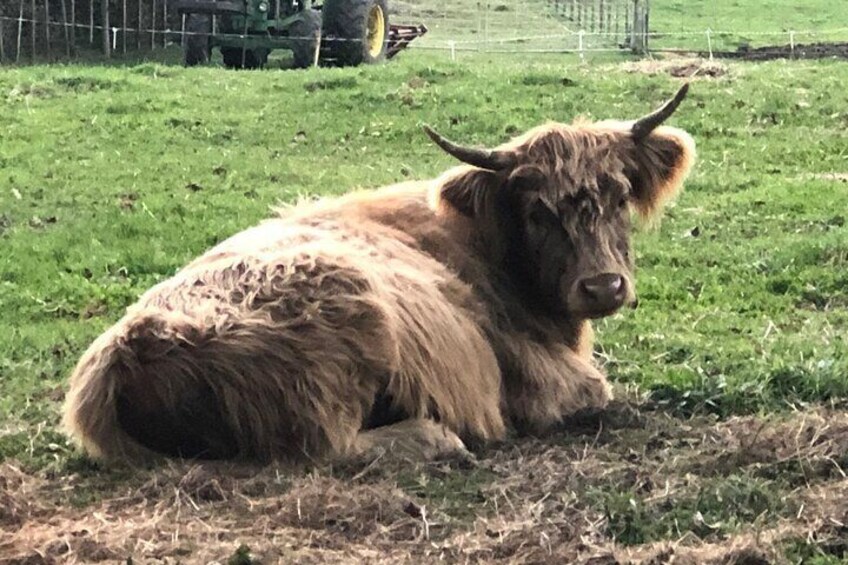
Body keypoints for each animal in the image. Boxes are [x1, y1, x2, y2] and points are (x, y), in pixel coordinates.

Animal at [59, 85, 696, 462]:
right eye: (537, 212)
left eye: (619, 196)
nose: (603, 285)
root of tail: (130, 351)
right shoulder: (531, 374)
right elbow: (595, 389)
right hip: (346, 337)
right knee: (329, 447)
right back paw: (439, 438)